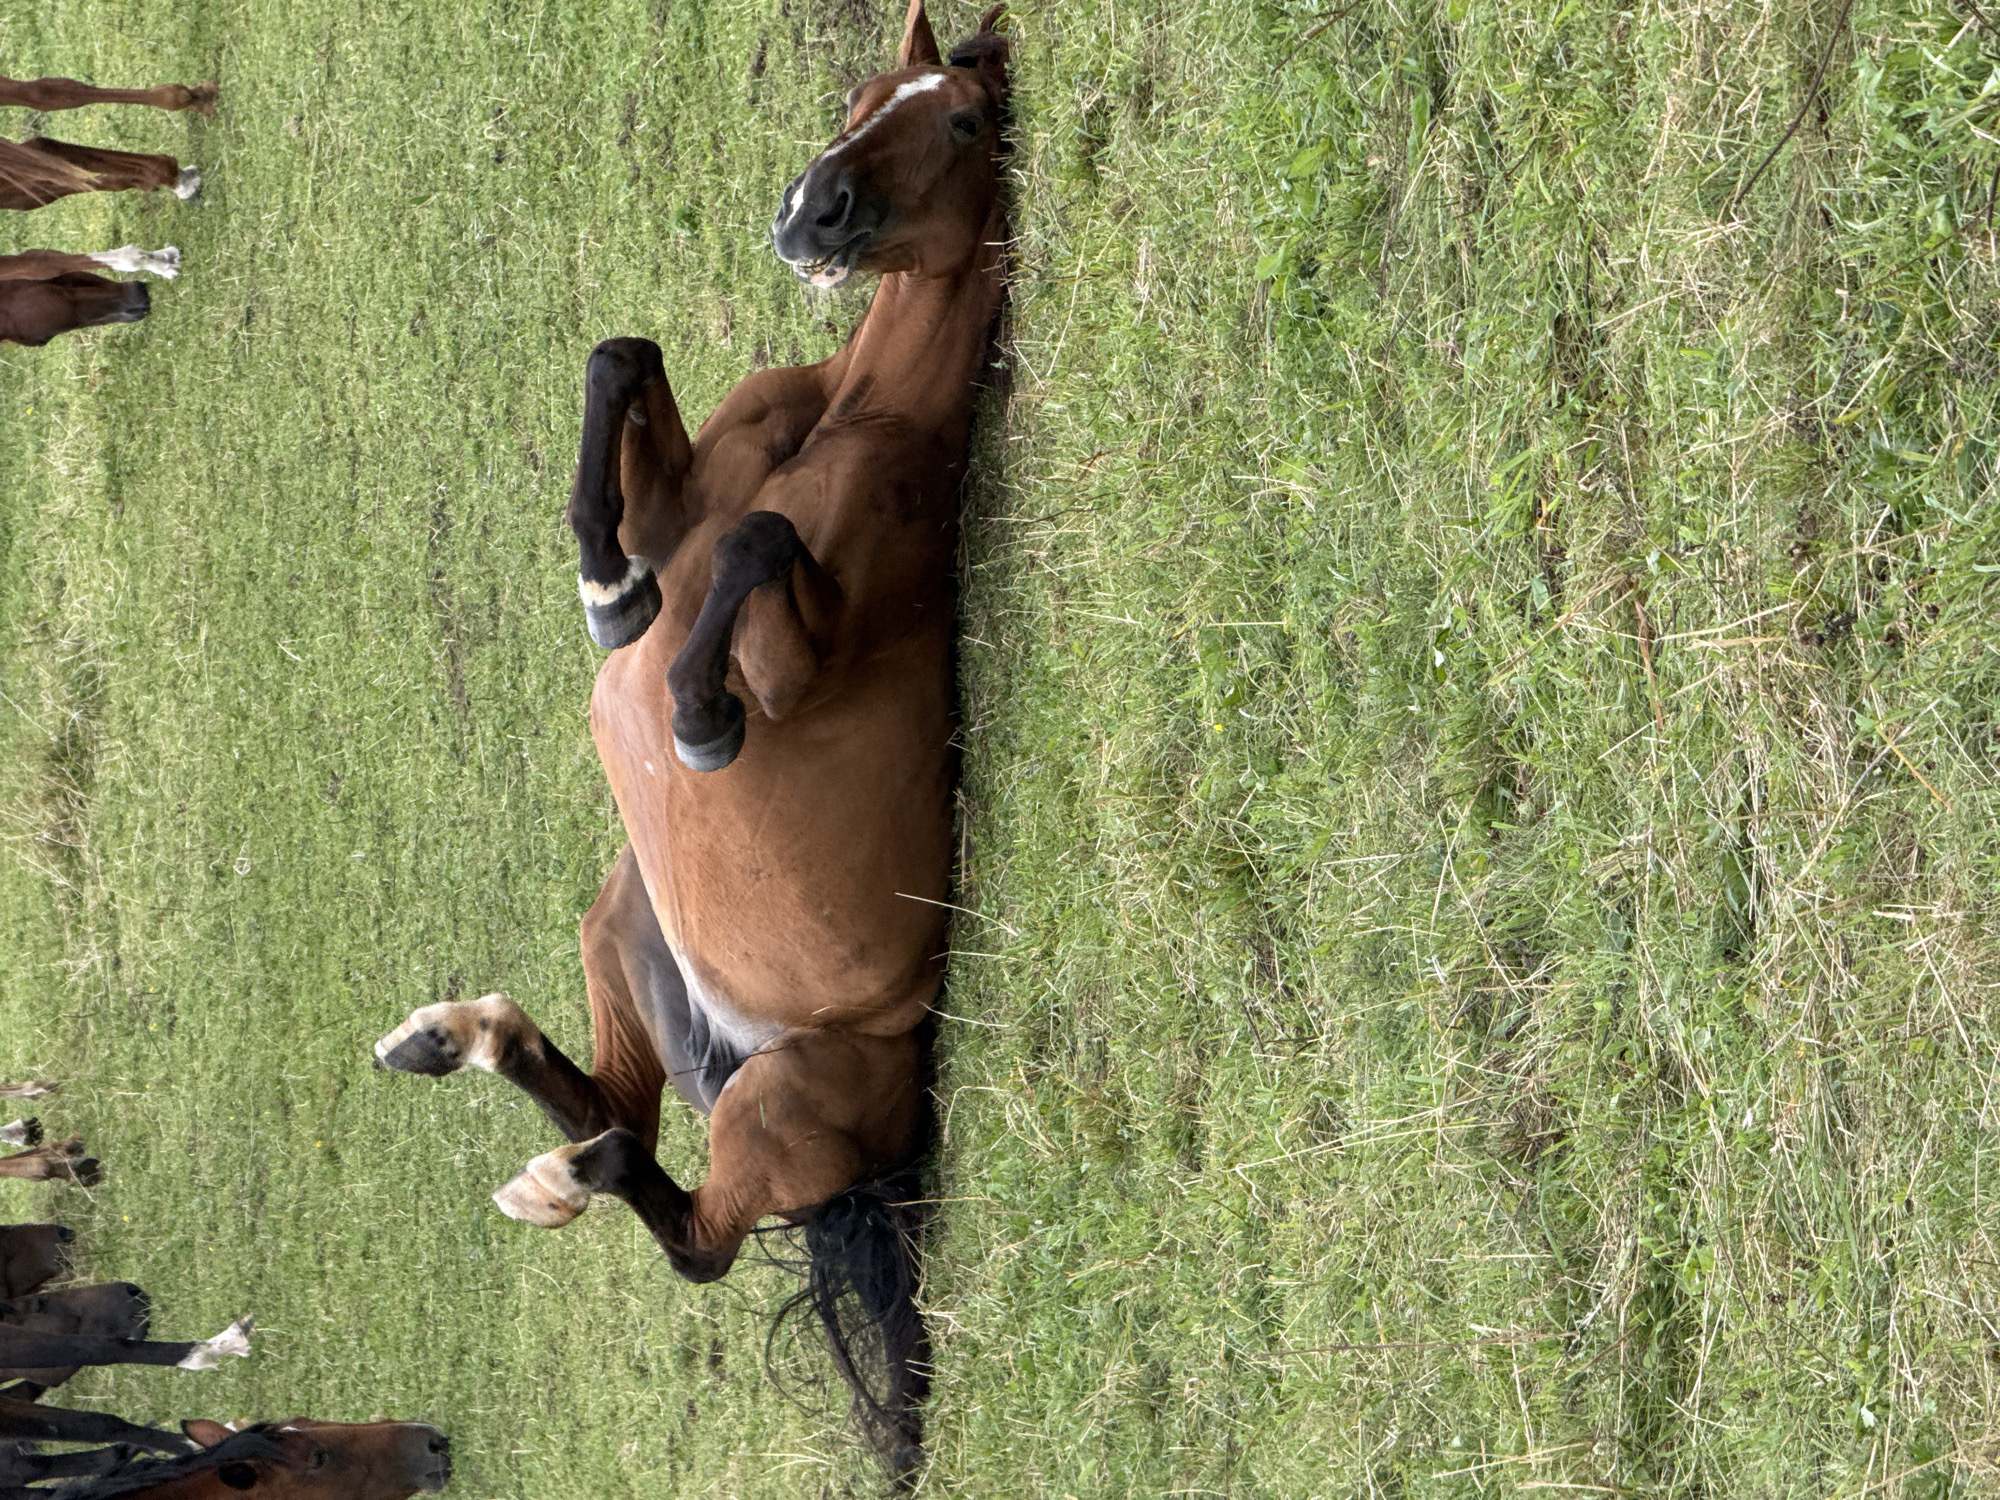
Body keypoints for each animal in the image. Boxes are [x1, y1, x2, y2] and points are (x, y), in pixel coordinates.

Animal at [375, 0, 1010, 1472]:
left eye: (960, 122)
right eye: (864, 95)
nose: (811, 208)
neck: (866, 410)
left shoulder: (792, 655)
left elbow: (753, 552)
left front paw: (689, 709)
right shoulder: (681, 491)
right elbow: (623, 361)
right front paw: (606, 586)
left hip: (779, 1104)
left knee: (688, 1226)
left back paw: (564, 1166)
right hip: (628, 927)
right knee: (615, 1103)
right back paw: (463, 1043)